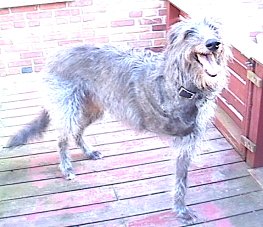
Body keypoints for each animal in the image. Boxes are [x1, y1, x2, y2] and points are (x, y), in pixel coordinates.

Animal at [6, 16, 232, 223]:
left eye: (214, 29)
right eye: (189, 33)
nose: (213, 43)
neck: (183, 84)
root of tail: (54, 55)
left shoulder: (189, 140)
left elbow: (182, 177)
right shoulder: (183, 140)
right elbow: (180, 181)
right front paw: (181, 211)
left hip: (93, 107)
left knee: (78, 132)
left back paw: (89, 152)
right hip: (68, 107)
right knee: (62, 139)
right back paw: (67, 168)